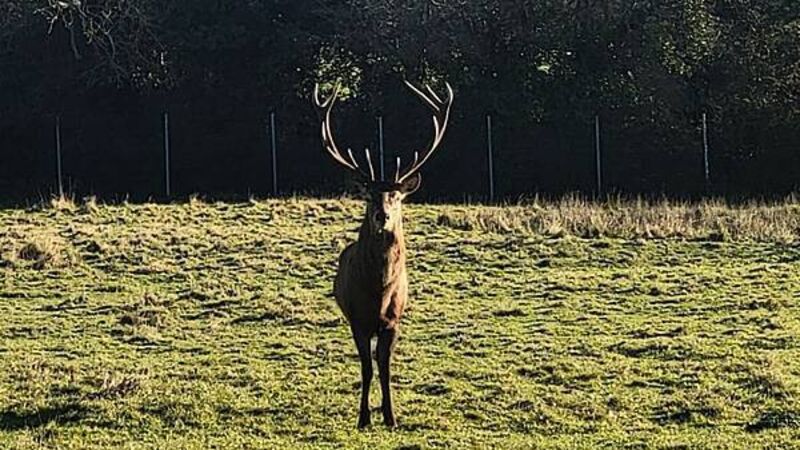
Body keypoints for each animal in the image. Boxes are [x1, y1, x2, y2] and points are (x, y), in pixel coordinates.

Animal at [312, 80, 454, 429]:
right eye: (369, 196)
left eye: (396, 196)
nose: (382, 215)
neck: (378, 291)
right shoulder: (358, 321)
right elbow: (366, 369)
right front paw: (364, 417)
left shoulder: (393, 321)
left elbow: (385, 368)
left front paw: (390, 417)